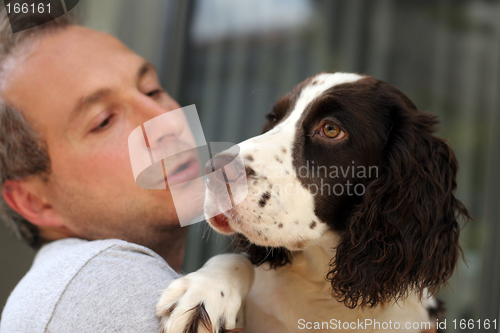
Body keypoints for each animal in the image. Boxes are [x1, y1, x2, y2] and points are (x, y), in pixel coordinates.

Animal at [156, 73, 468, 332]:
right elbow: (239, 259)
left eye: (331, 129)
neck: (322, 286)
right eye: (273, 119)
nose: (214, 169)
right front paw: (202, 293)